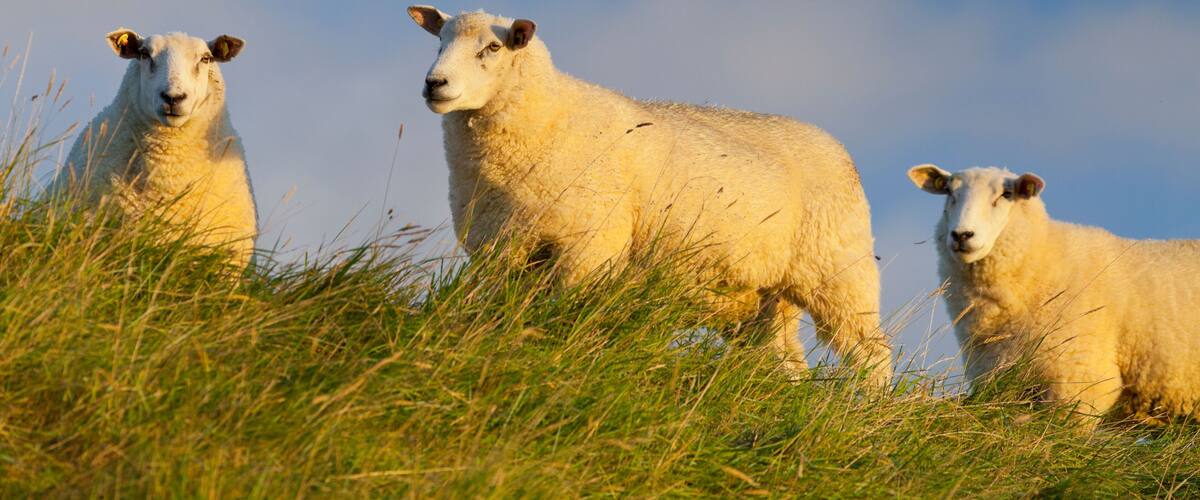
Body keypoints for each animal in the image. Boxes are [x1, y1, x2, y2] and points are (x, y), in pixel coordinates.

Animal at [407, 6, 893, 384]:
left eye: (492, 48)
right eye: (438, 43)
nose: (434, 83)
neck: (551, 115)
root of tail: (837, 146)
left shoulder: (590, 247)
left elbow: (568, 313)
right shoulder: (501, 248)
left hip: (839, 270)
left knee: (872, 353)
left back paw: (869, 410)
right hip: (765, 296)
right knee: (784, 360)